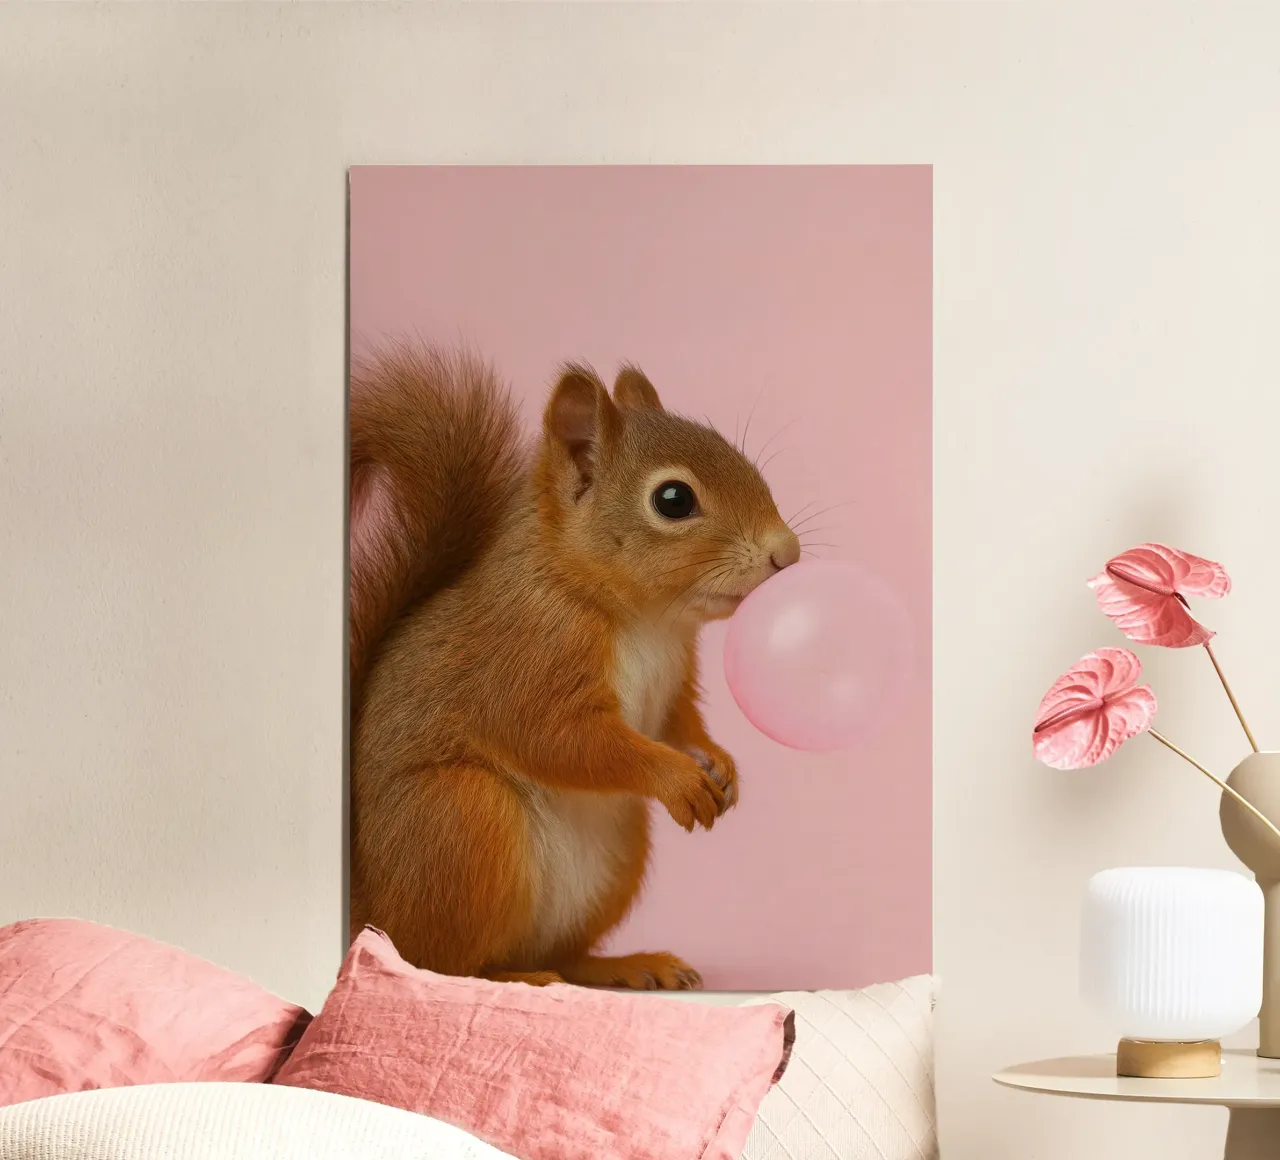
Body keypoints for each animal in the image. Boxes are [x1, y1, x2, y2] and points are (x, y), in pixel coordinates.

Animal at [348, 343, 800, 990]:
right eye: (673, 500)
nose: (787, 553)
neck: (646, 620)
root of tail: (372, 913)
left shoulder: (674, 681)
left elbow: (676, 725)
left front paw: (718, 761)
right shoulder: (530, 657)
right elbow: (565, 739)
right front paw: (679, 778)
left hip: (617, 855)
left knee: (562, 953)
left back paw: (628, 965)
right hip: (461, 819)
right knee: (441, 963)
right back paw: (513, 980)